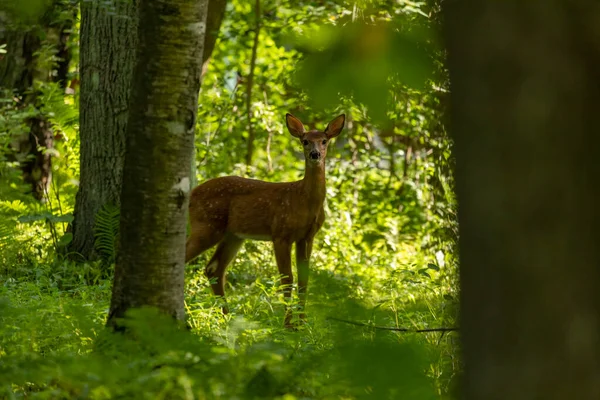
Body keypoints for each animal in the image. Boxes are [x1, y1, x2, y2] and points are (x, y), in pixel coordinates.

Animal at [188, 112, 346, 328]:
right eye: (304, 141)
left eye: (324, 140)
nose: (315, 154)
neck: (305, 202)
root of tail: (191, 195)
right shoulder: (281, 233)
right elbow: (287, 278)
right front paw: (288, 325)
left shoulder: (307, 236)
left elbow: (304, 279)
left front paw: (303, 324)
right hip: (207, 225)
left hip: (233, 235)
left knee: (214, 269)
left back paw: (227, 318)